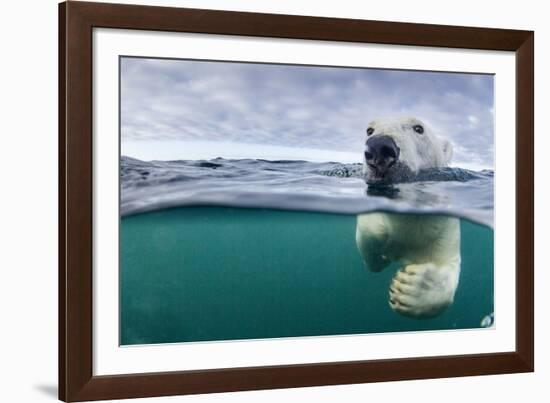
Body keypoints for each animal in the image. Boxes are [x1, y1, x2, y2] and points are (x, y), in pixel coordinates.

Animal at [358, 117, 462, 318]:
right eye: (369, 130)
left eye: (418, 128)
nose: (379, 147)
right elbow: (371, 242)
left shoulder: (444, 229)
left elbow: (448, 264)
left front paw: (409, 289)